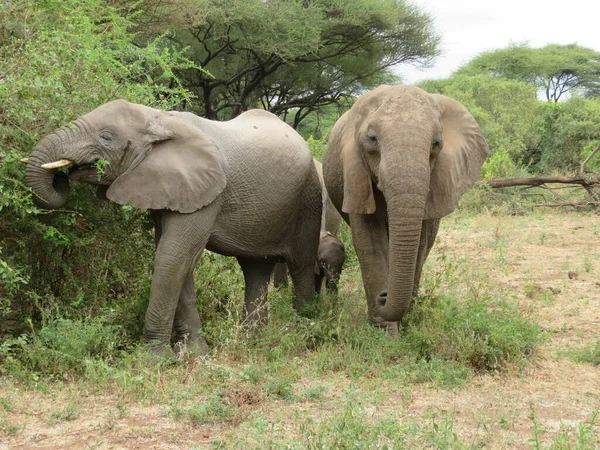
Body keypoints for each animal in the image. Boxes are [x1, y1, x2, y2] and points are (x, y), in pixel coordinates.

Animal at [25, 101, 324, 356]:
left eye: (106, 137)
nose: (62, 177)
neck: (157, 119)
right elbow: (175, 260)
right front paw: (194, 354)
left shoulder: (207, 192)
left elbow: (173, 257)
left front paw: (153, 359)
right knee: (255, 269)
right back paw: (252, 342)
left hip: (309, 195)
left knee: (300, 263)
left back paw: (305, 335)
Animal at [324, 85, 488, 334]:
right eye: (372, 139)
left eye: (436, 143)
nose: (383, 296)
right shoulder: (355, 173)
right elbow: (369, 242)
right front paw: (384, 332)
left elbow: (421, 243)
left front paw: (404, 323)